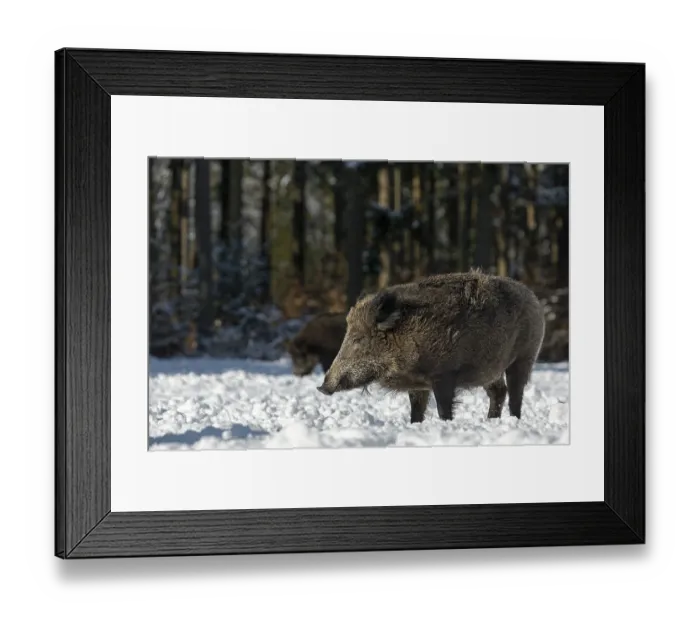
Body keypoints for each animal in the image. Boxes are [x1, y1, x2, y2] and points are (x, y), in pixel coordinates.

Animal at [316, 271, 545, 423]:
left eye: (358, 339)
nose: (322, 387)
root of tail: (532, 296)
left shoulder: (443, 374)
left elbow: (443, 409)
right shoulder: (418, 385)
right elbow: (416, 411)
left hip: (525, 356)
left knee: (515, 392)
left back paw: (513, 421)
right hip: (489, 370)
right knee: (498, 391)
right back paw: (490, 421)